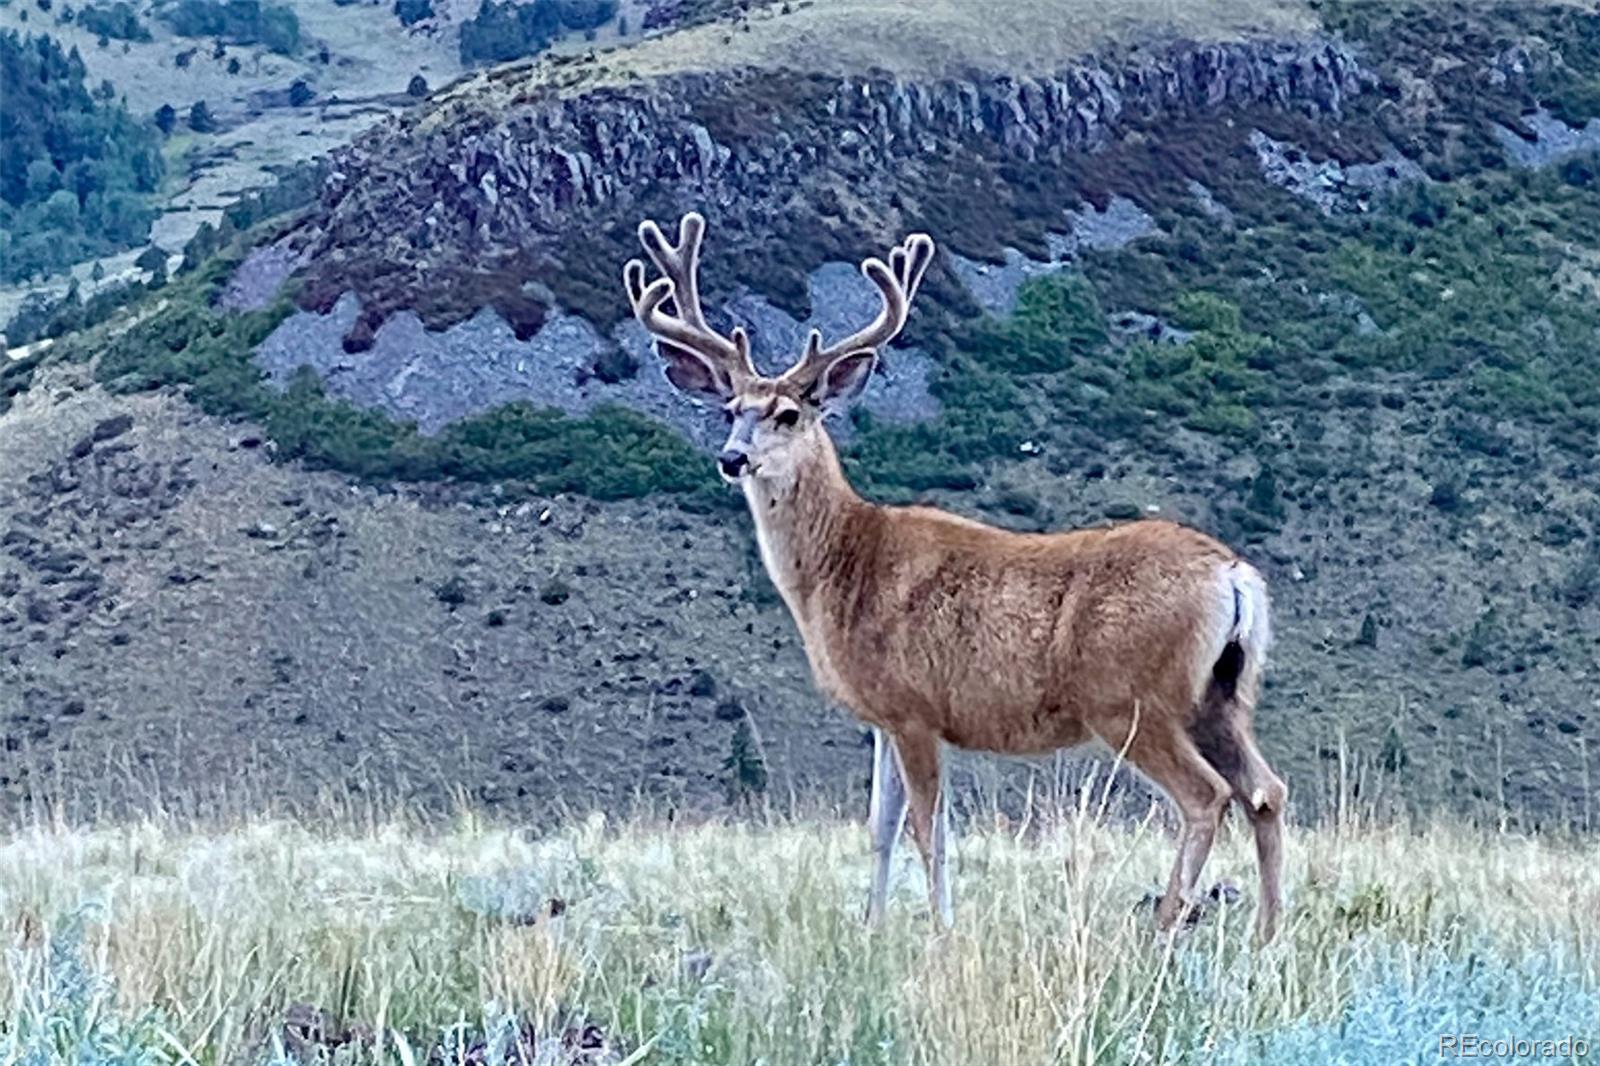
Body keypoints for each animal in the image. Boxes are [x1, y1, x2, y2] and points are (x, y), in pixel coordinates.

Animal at [620, 208, 1286, 941]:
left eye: (789, 414)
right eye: (728, 408)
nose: (732, 458)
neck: (842, 566)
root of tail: (1234, 576)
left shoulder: (914, 709)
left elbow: (926, 826)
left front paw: (939, 926)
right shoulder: (881, 716)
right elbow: (880, 826)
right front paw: (873, 926)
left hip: (1133, 699)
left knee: (1206, 796)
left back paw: (1165, 924)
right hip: (1222, 694)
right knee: (1265, 791)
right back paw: (1267, 930)